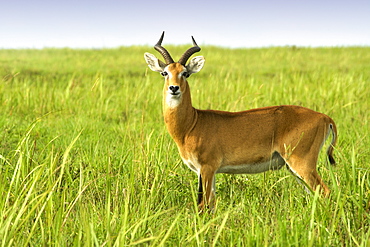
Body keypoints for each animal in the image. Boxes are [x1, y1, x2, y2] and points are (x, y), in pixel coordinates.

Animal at [145, 31, 338, 211]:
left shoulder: (207, 168)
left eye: (185, 73)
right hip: (294, 168)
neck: (192, 123)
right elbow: (211, 205)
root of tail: (324, 117)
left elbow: (203, 205)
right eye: (165, 73)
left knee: (325, 191)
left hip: (301, 163)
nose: (174, 88)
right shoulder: (207, 172)